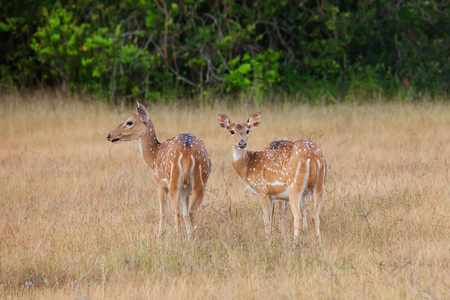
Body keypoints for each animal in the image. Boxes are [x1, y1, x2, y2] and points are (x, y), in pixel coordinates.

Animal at [107, 103, 211, 239]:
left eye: (129, 122)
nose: (109, 135)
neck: (155, 156)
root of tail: (187, 151)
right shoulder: (185, 191)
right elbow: (185, 213)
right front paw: (189, 236)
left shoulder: (161, 184)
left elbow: (163, 212)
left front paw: (159, 235)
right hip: (200, 182)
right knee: (190, 211)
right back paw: (194, 238)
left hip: (173, 183)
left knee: (176, 212)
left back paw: (177, 237)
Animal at [217, 112, 326, 246]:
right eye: (231, 131)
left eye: (248, 130)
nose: (242, 144)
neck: (247, 167)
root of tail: (312, 155)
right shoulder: (271, 195)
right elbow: (271, 218)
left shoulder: (262, 190)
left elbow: (267, 219)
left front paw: (268, 243)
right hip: (320, 184)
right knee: (315, 216)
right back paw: (319, 245)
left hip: (295, 186)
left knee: (298, 216)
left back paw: (295, 245)